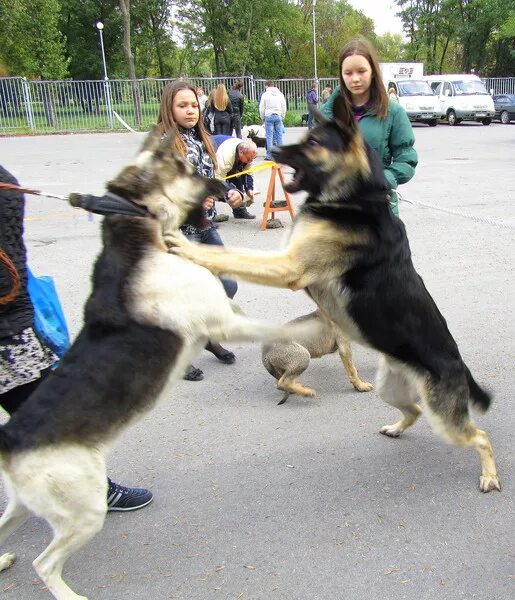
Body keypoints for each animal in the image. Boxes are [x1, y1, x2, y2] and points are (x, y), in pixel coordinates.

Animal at [171, 115, 502, 494]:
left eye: (313, 142)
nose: (273, 149)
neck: (356, 202)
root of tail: (459, 364)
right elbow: (231, 257)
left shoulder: (290, 266)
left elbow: (230, 256)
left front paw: (183, 245)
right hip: (391, 390)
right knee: (414, 411)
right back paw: (394, 428)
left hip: (444, 419)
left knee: (480, 436)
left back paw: (489, 475)